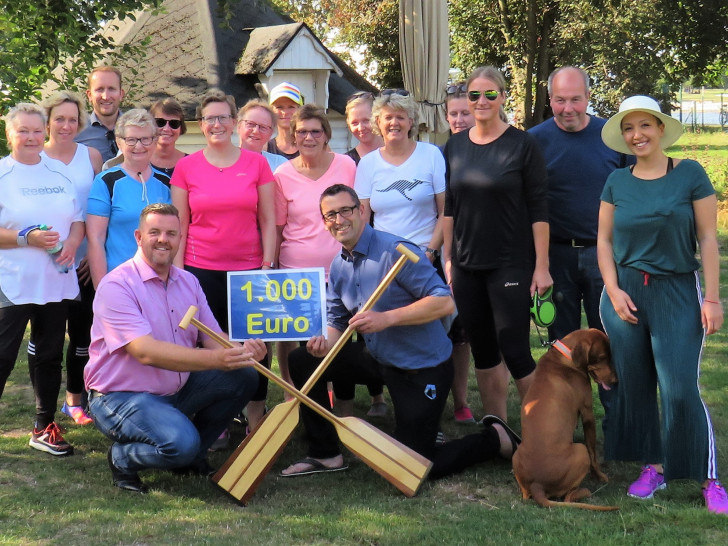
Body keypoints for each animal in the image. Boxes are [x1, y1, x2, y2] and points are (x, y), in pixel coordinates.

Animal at [512, 328, 620, 510]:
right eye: (602, 357)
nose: (615, 381)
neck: (566, 356)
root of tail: (537, 484)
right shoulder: (588, 413)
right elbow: (593, 454)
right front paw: (599, 475)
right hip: (580, 452)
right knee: (568, 496)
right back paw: (584, 491)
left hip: (516, 456)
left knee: (526, 496)